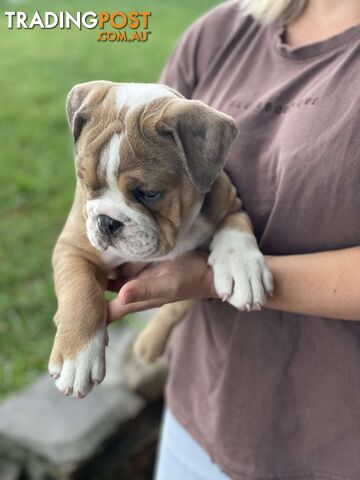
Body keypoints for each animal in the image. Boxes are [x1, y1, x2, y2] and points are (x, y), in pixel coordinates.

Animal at [48, 81, 272, 398]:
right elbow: (80, 290)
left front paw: (242, 271)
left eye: (149, 193)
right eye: (86, 182)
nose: (107, 221)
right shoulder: (74, 247)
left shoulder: (230, 202)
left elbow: (235, 229)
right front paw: (77, 358)